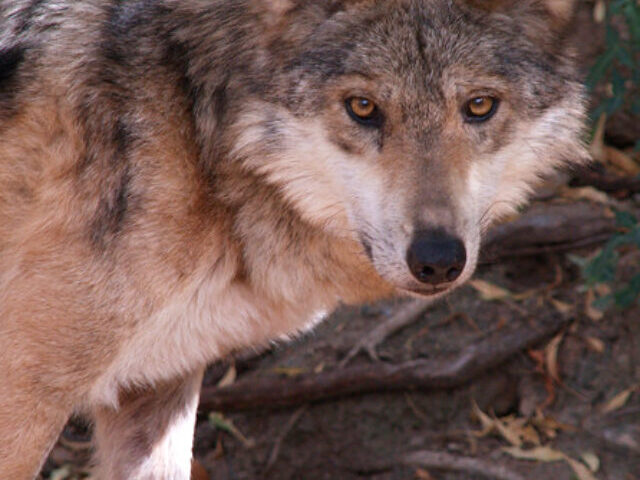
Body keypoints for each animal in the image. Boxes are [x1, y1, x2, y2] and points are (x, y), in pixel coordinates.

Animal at [0, 0, 588, 478]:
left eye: (480, 106)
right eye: (363, 107)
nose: (438, 259)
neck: (191, 122)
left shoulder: (157, 382)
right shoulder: (24, 394)